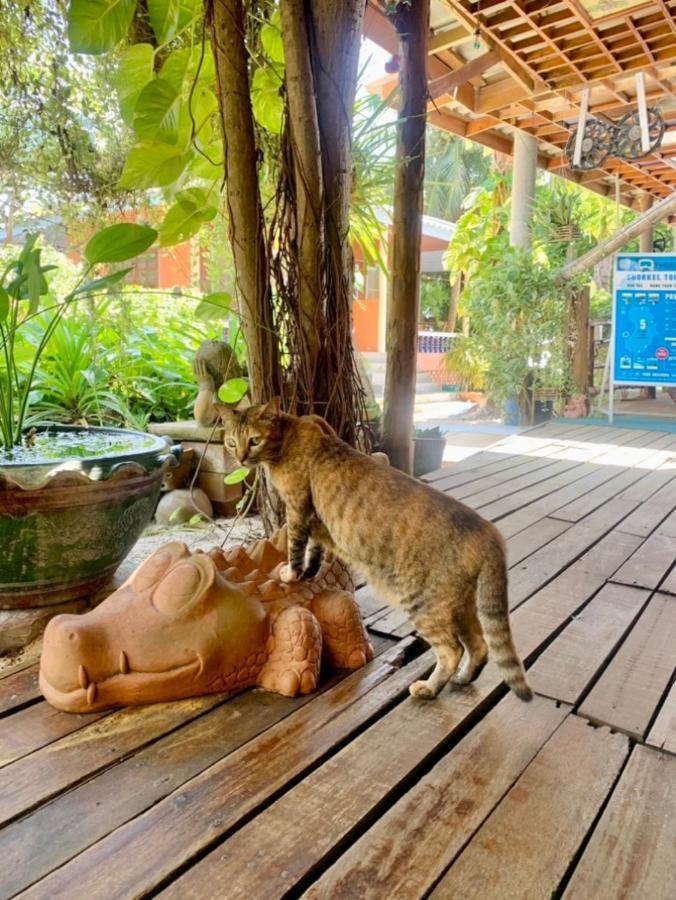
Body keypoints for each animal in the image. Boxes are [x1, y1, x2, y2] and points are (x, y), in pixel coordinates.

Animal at [214, 400, 532, 704]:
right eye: (230, 442)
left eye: (254, 440)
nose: (240, 458)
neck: (289, 434)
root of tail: (488, 532)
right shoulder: (317, 523)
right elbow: (315, 550)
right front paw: (310, 572)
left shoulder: (297, 510)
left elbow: (295, 548)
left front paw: (291, 574)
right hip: (459, 604)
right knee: (479, 645)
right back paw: (463, 679)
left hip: (424, 602)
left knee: (452, 650)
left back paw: (428, 689)